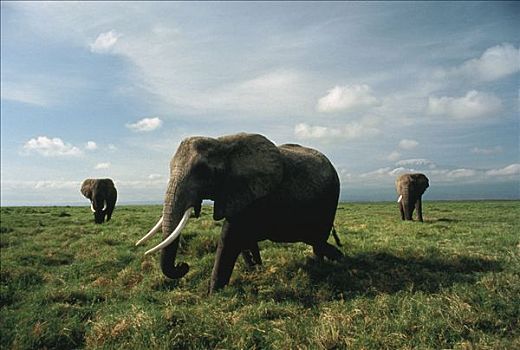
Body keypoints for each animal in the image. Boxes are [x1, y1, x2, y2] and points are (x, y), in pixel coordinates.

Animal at [136, 132, 344, 292]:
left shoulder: (252, 195)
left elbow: (230, 237)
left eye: (202, 171)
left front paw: (213, 295)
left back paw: (324, 265)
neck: (222, 144)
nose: (182, 266)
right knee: (317, 242)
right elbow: (243, 238)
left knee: (318, 242)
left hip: (330, 199)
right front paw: (255, 269)